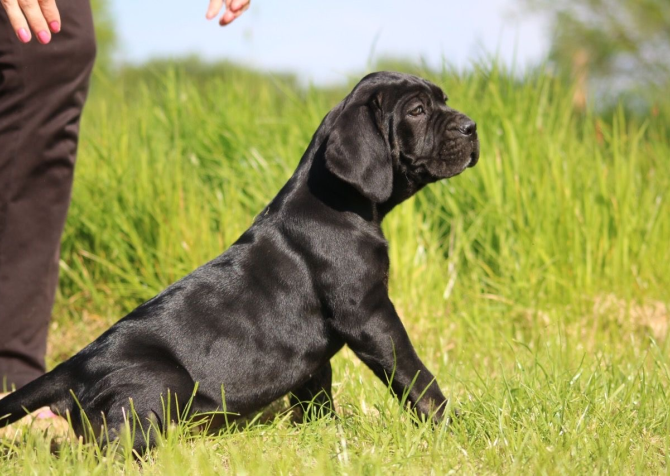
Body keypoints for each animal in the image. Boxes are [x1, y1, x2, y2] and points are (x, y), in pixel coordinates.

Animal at [1, 70, 484, 450]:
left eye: (443, 100)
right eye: (417, 110)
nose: (472, 126)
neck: (338, 201)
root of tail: (71, 368)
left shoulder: (320, 347)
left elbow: (317, 388)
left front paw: (324, 435)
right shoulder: (369, 314)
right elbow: (415, 376)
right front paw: (454, 428)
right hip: (161, 383)